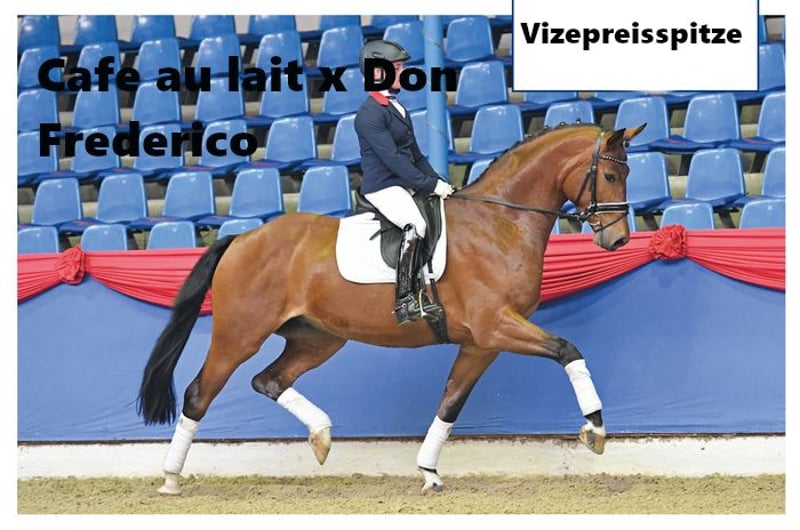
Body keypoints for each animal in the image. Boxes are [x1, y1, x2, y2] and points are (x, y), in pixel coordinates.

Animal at [138, 122, 646, 495]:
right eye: (610, 176)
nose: (618, 240)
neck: (499, 221)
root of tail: (242, 237)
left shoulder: (482, 342)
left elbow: (451, 401)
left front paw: (428, 472)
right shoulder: (496, 326)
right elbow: (568, 350)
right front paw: (595, 429)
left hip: (318, 338)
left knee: (269, 381)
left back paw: (321, 436)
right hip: (240, 334)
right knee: (199, 394)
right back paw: (170, 478)